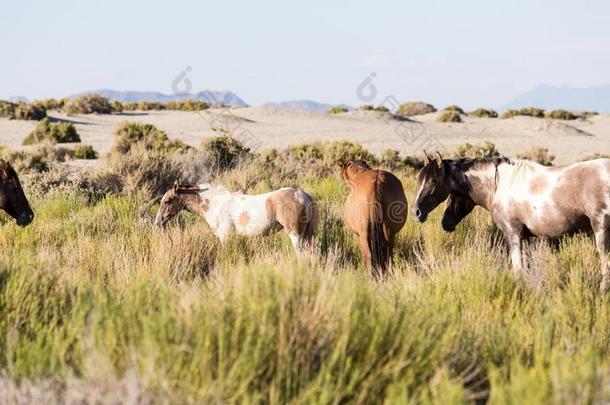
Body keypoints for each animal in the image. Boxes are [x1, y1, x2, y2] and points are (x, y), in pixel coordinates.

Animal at [153, 181, 318, 251]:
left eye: (167, 200)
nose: (157, 223)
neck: (216, 204)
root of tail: (303, 195)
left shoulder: (225, 237)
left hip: (296, 235)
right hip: (308, 235)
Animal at [410, 152, 608, 290]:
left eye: (432, 181)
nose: (416, 212)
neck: (499, 185)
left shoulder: (513, 234)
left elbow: (518, 270)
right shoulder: (527, 239)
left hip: (601, 231)